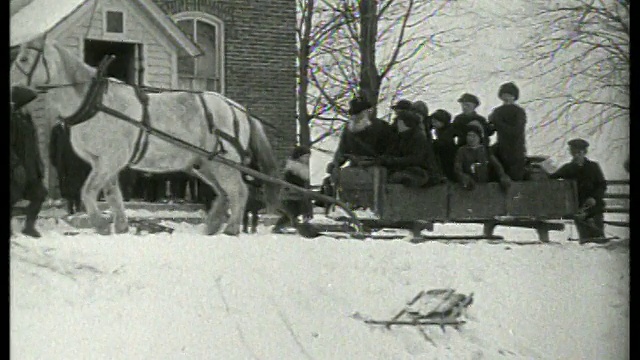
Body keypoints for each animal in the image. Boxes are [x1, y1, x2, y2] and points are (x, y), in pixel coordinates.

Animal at [10, 36, 280, 236]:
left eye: (23, 58)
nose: (11, 91)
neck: (96, 103)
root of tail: (238, 109)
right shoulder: (104, 163)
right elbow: (112, 195)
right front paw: (119, 226)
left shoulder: (110, 160)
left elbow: (87, 191)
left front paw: (101, 224)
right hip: (204, 164)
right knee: (224, 193)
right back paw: (212, 226)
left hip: (224, 163)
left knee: (239, 191)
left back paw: (231, 229)